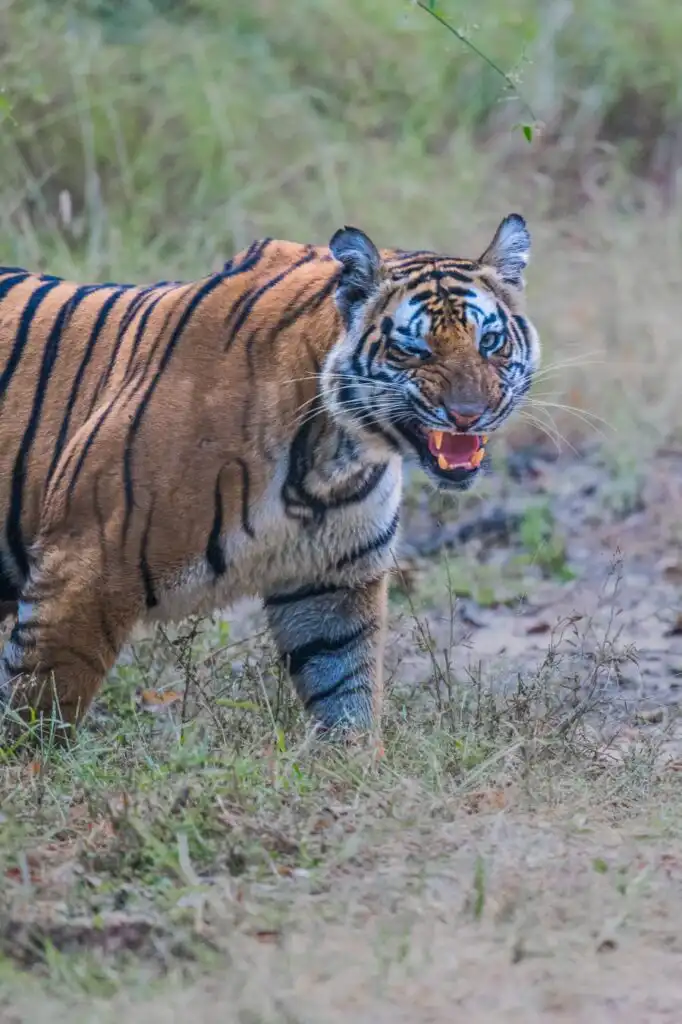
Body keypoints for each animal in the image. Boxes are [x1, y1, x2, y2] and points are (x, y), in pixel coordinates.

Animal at [0, 213, 539, 740]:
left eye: (490, 342)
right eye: (415, 350)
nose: (469, 414)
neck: (335, 454)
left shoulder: (333, 580)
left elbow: (347, 695)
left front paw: (353, 763)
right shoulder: (85, 563)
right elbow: (41, 709)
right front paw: (33, 763)